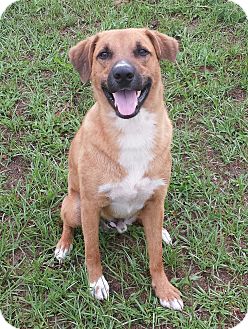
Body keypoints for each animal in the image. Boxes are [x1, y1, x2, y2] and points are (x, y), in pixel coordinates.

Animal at [54, 28, 183, 310]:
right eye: (104, 54)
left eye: (142, 51)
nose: (123, 74)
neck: (132, 129)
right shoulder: (90, 205)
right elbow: (92, 250)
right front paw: (96, 283)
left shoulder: (156, 198)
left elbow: (155, 254)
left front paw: (164, 290)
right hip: (74, 205)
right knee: (67, 223)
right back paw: (63, 246)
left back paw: (161, 231)